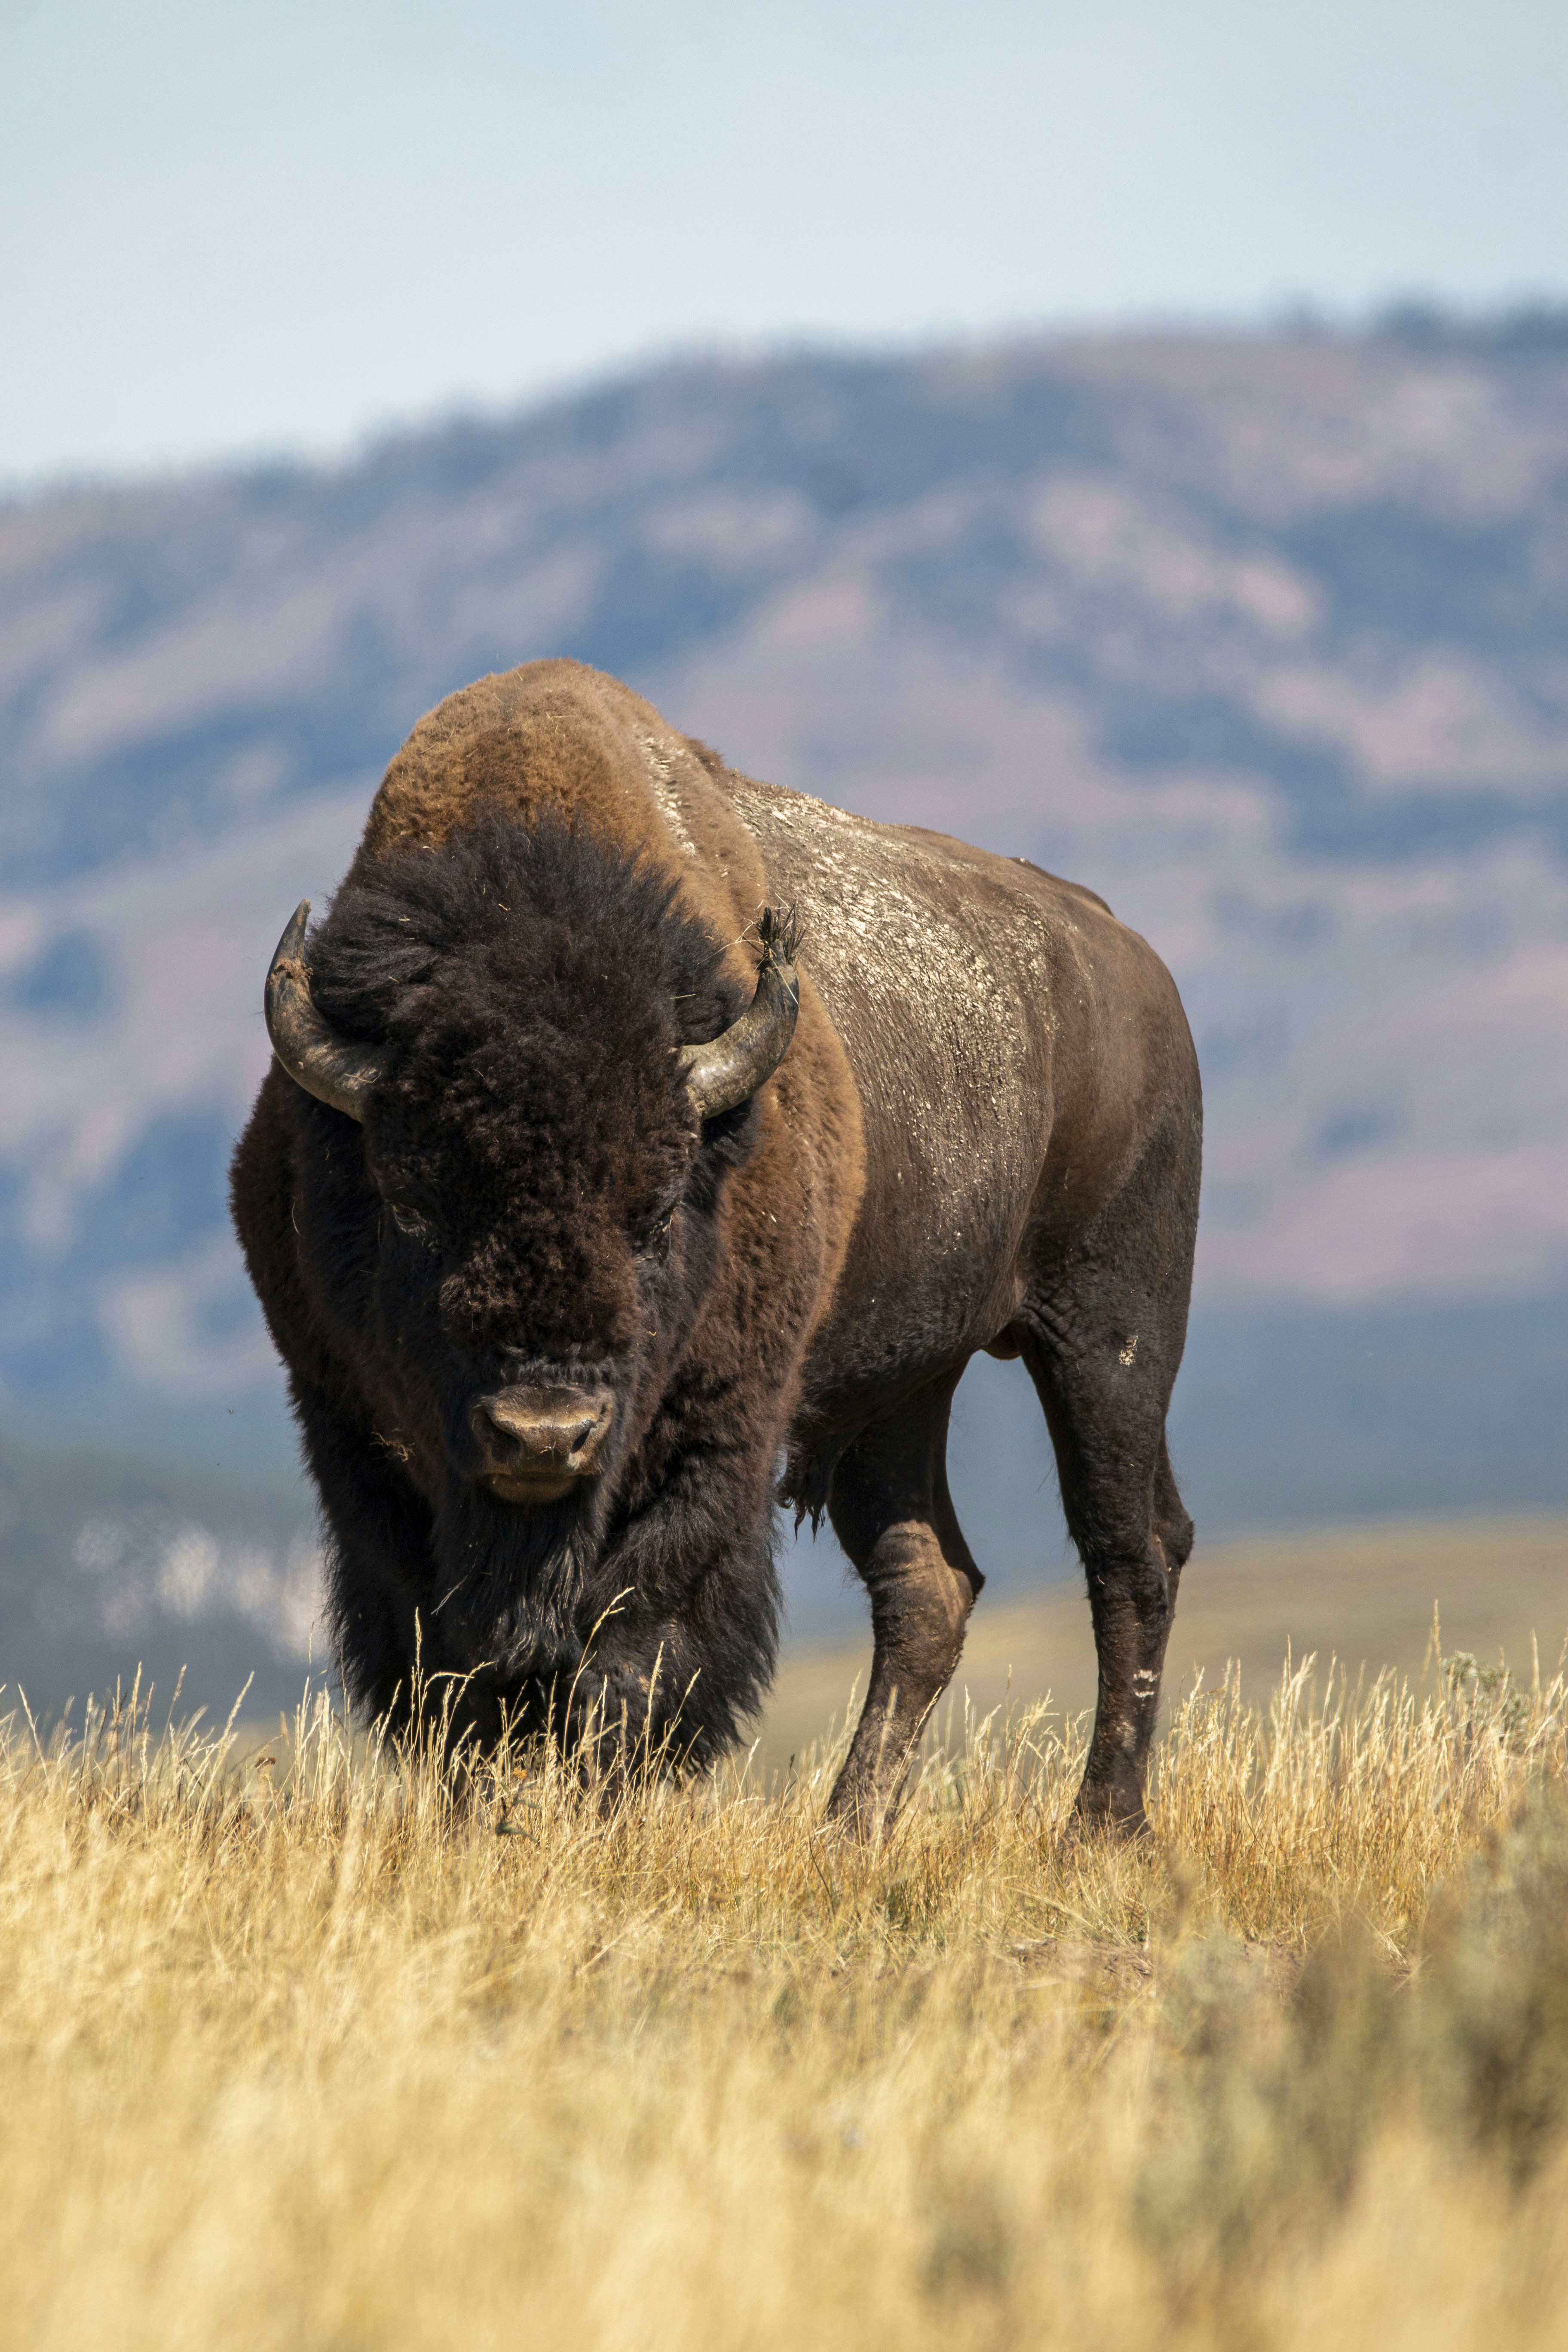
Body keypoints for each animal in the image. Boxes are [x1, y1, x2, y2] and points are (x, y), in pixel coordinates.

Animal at [232, 660, 1200, 1832]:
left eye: (654, 1210)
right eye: (410, 1205)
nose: (544, 1434)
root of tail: (1126, 955)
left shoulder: (716, 1434)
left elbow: (634, 1641)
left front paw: (596, 1813)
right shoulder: (354, 1431)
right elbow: (444, 1662)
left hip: (1110, 1334)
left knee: (1129, 1551)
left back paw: (1099, 1828)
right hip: (901, 1389)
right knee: (928, 1583)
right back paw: (848, 1829)